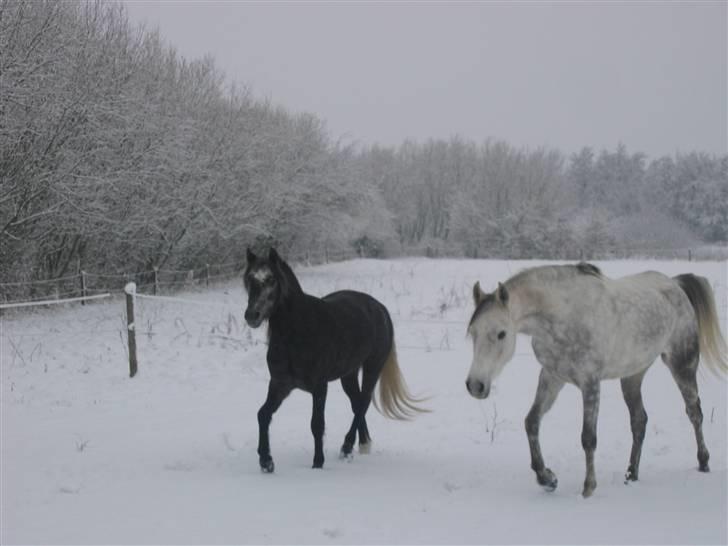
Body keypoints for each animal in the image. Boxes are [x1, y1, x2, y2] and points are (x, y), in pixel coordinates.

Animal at [464, 262, 724, 496]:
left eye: (501, 334)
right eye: (473, 332)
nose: (475, 385)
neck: (563, 315)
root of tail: (675, 284)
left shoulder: (590, 382)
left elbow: (588, 438)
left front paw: (588, 487)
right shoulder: (552, 376)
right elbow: (532, 422)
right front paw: (547, 478)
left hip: (682, 364)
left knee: (694, 412)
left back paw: (703, 462)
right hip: (632, 375)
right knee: (639, 420)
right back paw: (631, 474)